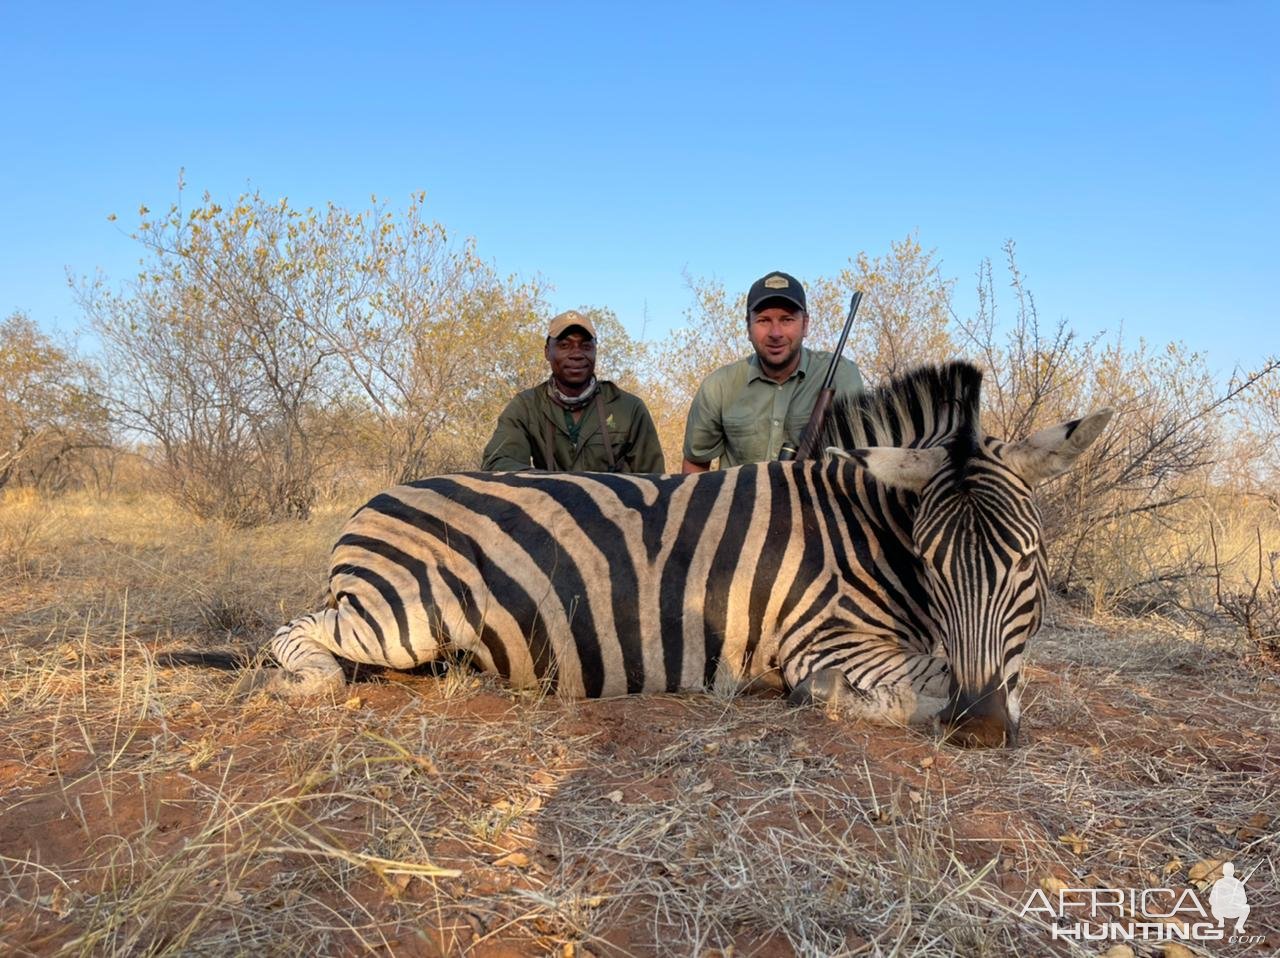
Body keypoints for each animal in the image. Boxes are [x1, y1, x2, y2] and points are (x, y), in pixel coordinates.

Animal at [259, 363, 1111, 742]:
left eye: (1028, 560)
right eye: (930, 562)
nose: (981, 728)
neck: (865, 529)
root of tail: (373, 501)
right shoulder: (823, 638)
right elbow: (916, 682)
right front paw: (816, 697)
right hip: (403, 615)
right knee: (294, 633)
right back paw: (307, 681)